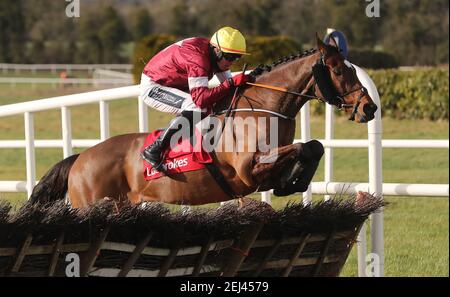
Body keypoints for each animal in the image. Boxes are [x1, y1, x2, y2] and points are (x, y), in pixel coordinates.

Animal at [28, 35, 376, 208]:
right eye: (339, 70)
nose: (369, 107)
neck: (265, 108)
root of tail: (79, 158)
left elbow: (313, 146)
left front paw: (294, 181)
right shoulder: (248, 168)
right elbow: (302, 147)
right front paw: (292, 178)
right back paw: (152, 153)